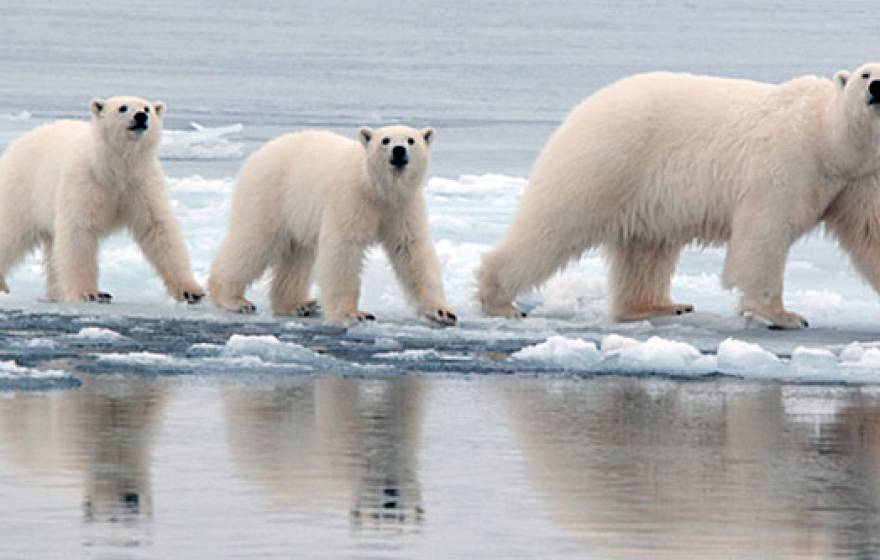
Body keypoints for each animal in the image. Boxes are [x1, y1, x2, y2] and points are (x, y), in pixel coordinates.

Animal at [0, 96, 204, 304]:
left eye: (147, 108)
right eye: (123, 108)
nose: (140, 116)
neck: (113, 169)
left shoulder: (141, 184)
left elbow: (158, 228)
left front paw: (191, 291)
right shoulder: (85, 182)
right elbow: (78, 232)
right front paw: (89, 293)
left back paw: (56, 293)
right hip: (22, 191)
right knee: (11, 233)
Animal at [208, 126, 457, 326]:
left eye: (411, 140)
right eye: (385, 140)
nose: (398, 150)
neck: (378, 188)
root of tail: (257, 154)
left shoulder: (402, 206)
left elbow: (411, 250)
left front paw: (442, 312)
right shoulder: (352, 198)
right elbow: (344, 249)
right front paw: (354, 314)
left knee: (298, 256)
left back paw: (298, 305)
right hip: (270, 195)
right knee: (254, 241)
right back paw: (234, 299)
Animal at [478, 64, 880, 329]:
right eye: (865, 73)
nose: (877, 86)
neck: (826, 138)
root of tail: (584, 107)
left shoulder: (860, 178)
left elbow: (871, 234)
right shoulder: (785, 163)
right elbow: (764, 234)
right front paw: (783, 315)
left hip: (643, 193)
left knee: (645, 252)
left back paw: (659, 306)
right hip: (605, 163)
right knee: (553, 227)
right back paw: (499, 300)